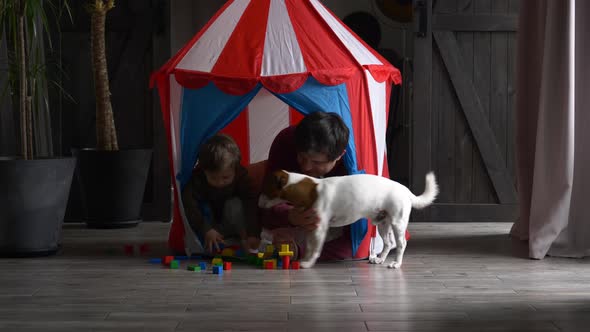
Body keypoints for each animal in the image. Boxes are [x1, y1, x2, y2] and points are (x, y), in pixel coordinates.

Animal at [260, 171, 440, 270]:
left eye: (265, 190)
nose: (257, 203)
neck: (311, 190)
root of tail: (406, 191)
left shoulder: (320, 229)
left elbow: (315, 248)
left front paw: (308, 262)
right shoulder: (312, 227)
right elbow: (310, 246)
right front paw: (305, 259)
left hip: (397, 223)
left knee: (401, 243)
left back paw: (396, 263)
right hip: (383, 223)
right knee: (389, 243)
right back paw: (380, 258)